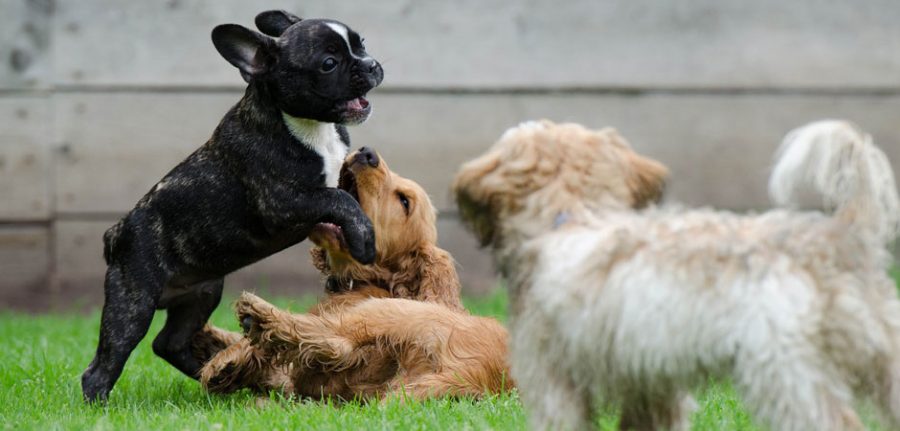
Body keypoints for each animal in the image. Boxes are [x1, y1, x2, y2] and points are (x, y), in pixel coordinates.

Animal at [80, 8, 384, 404]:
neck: (309, 126)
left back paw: (216, 375)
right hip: (133, 304)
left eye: (361, 44)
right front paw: (364, 240)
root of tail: (116, 233)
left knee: (169, 343)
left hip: (202, 293)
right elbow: (338, 198)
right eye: (328, 63)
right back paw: (101, 404)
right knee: (105, 362)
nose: (372, 63)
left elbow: (347, 193)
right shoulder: (283, 202)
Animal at [192, 148, 510, 402]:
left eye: (404, 202)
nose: (367, 153)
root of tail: (478, 374)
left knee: (334, 341)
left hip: (391, 313)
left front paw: (226, 359)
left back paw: (257, 316)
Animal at [454, 120, 900, 431]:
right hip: (884, 362)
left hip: (786, 374)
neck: (573, 216)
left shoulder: (553, 381)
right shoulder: (651, 388)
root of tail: (841, 236)